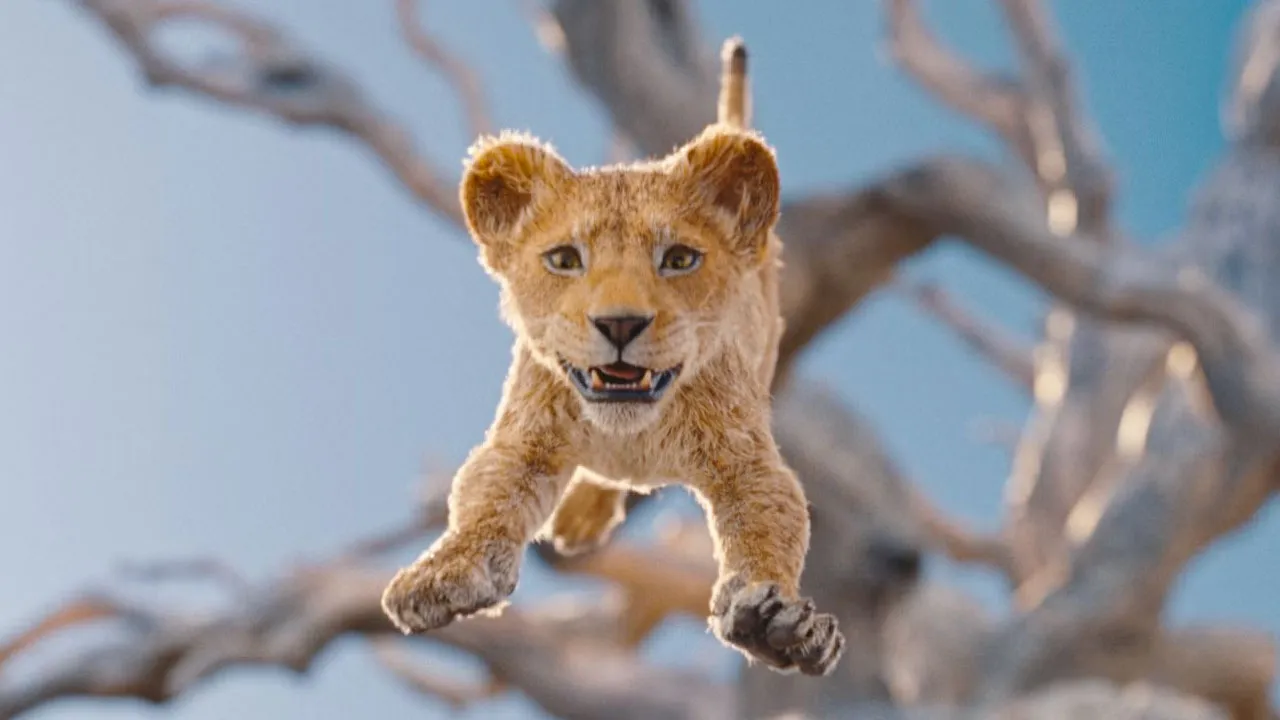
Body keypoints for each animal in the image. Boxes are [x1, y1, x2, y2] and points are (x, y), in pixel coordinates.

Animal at [381, 38, 845, 676]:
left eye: (679, 259)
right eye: (564, 259)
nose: (620, 323)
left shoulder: (746, 460)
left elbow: (770, 524)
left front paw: (774, 622)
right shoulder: (523, 438)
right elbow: (484, 499)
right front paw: (442, 573)